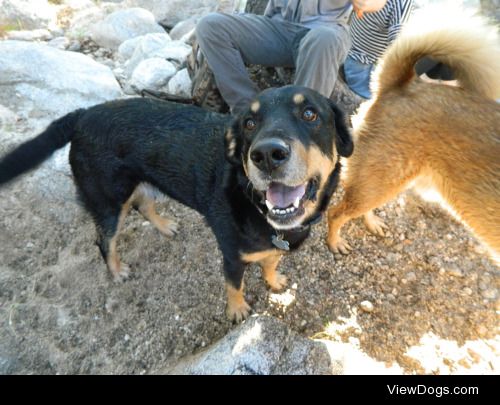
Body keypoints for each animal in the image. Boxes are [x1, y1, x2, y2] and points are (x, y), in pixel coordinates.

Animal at [0, 84, 354, 318]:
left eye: (310, 114)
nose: (266, 154)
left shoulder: (276, 244)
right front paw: (237, 310)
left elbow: (270, 261)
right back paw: (116, 270)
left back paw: (164, 226)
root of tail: (82, 115)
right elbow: (234, 285)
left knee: (144, 204)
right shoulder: (232, 257)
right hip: (108, 200)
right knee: (104, 240)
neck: (251, 200)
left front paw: (273, 280)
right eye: (250, 123)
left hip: (143, 183)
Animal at [328, 8, 500, 266]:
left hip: (385, 180)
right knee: (335, 212)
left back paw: (372, 223)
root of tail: (403, 83)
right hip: (381, 180)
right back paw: (334, 242)